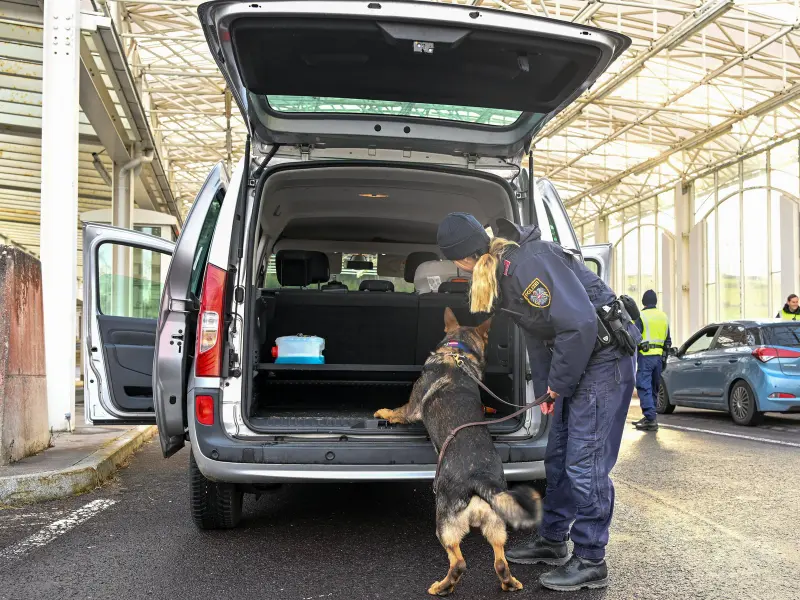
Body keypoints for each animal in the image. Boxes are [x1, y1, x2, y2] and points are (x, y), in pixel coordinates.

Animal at [376, 310, 544, 596]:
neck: (456, 352)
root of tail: (479, 480)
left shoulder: (411, 409)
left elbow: (398, 411)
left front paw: (384, 412)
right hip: (496, 525)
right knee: (500, 561)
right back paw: (509, 582)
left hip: (445, 524)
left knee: (459, 562)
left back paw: (442, 586)